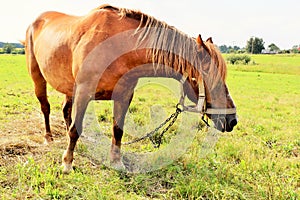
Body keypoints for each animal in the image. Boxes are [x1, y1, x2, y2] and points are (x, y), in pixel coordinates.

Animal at [23, 5, 238, 173]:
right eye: (213, 79)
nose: (232, 120)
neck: (117, 47)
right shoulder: (84, 92)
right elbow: (76, 129)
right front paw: (67, 163)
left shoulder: (124, 95)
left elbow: (117, 129)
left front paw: (116, 162)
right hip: (38, 78)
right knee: (46, 107)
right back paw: (49, 138)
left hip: (69, 88)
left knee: (65, 110)